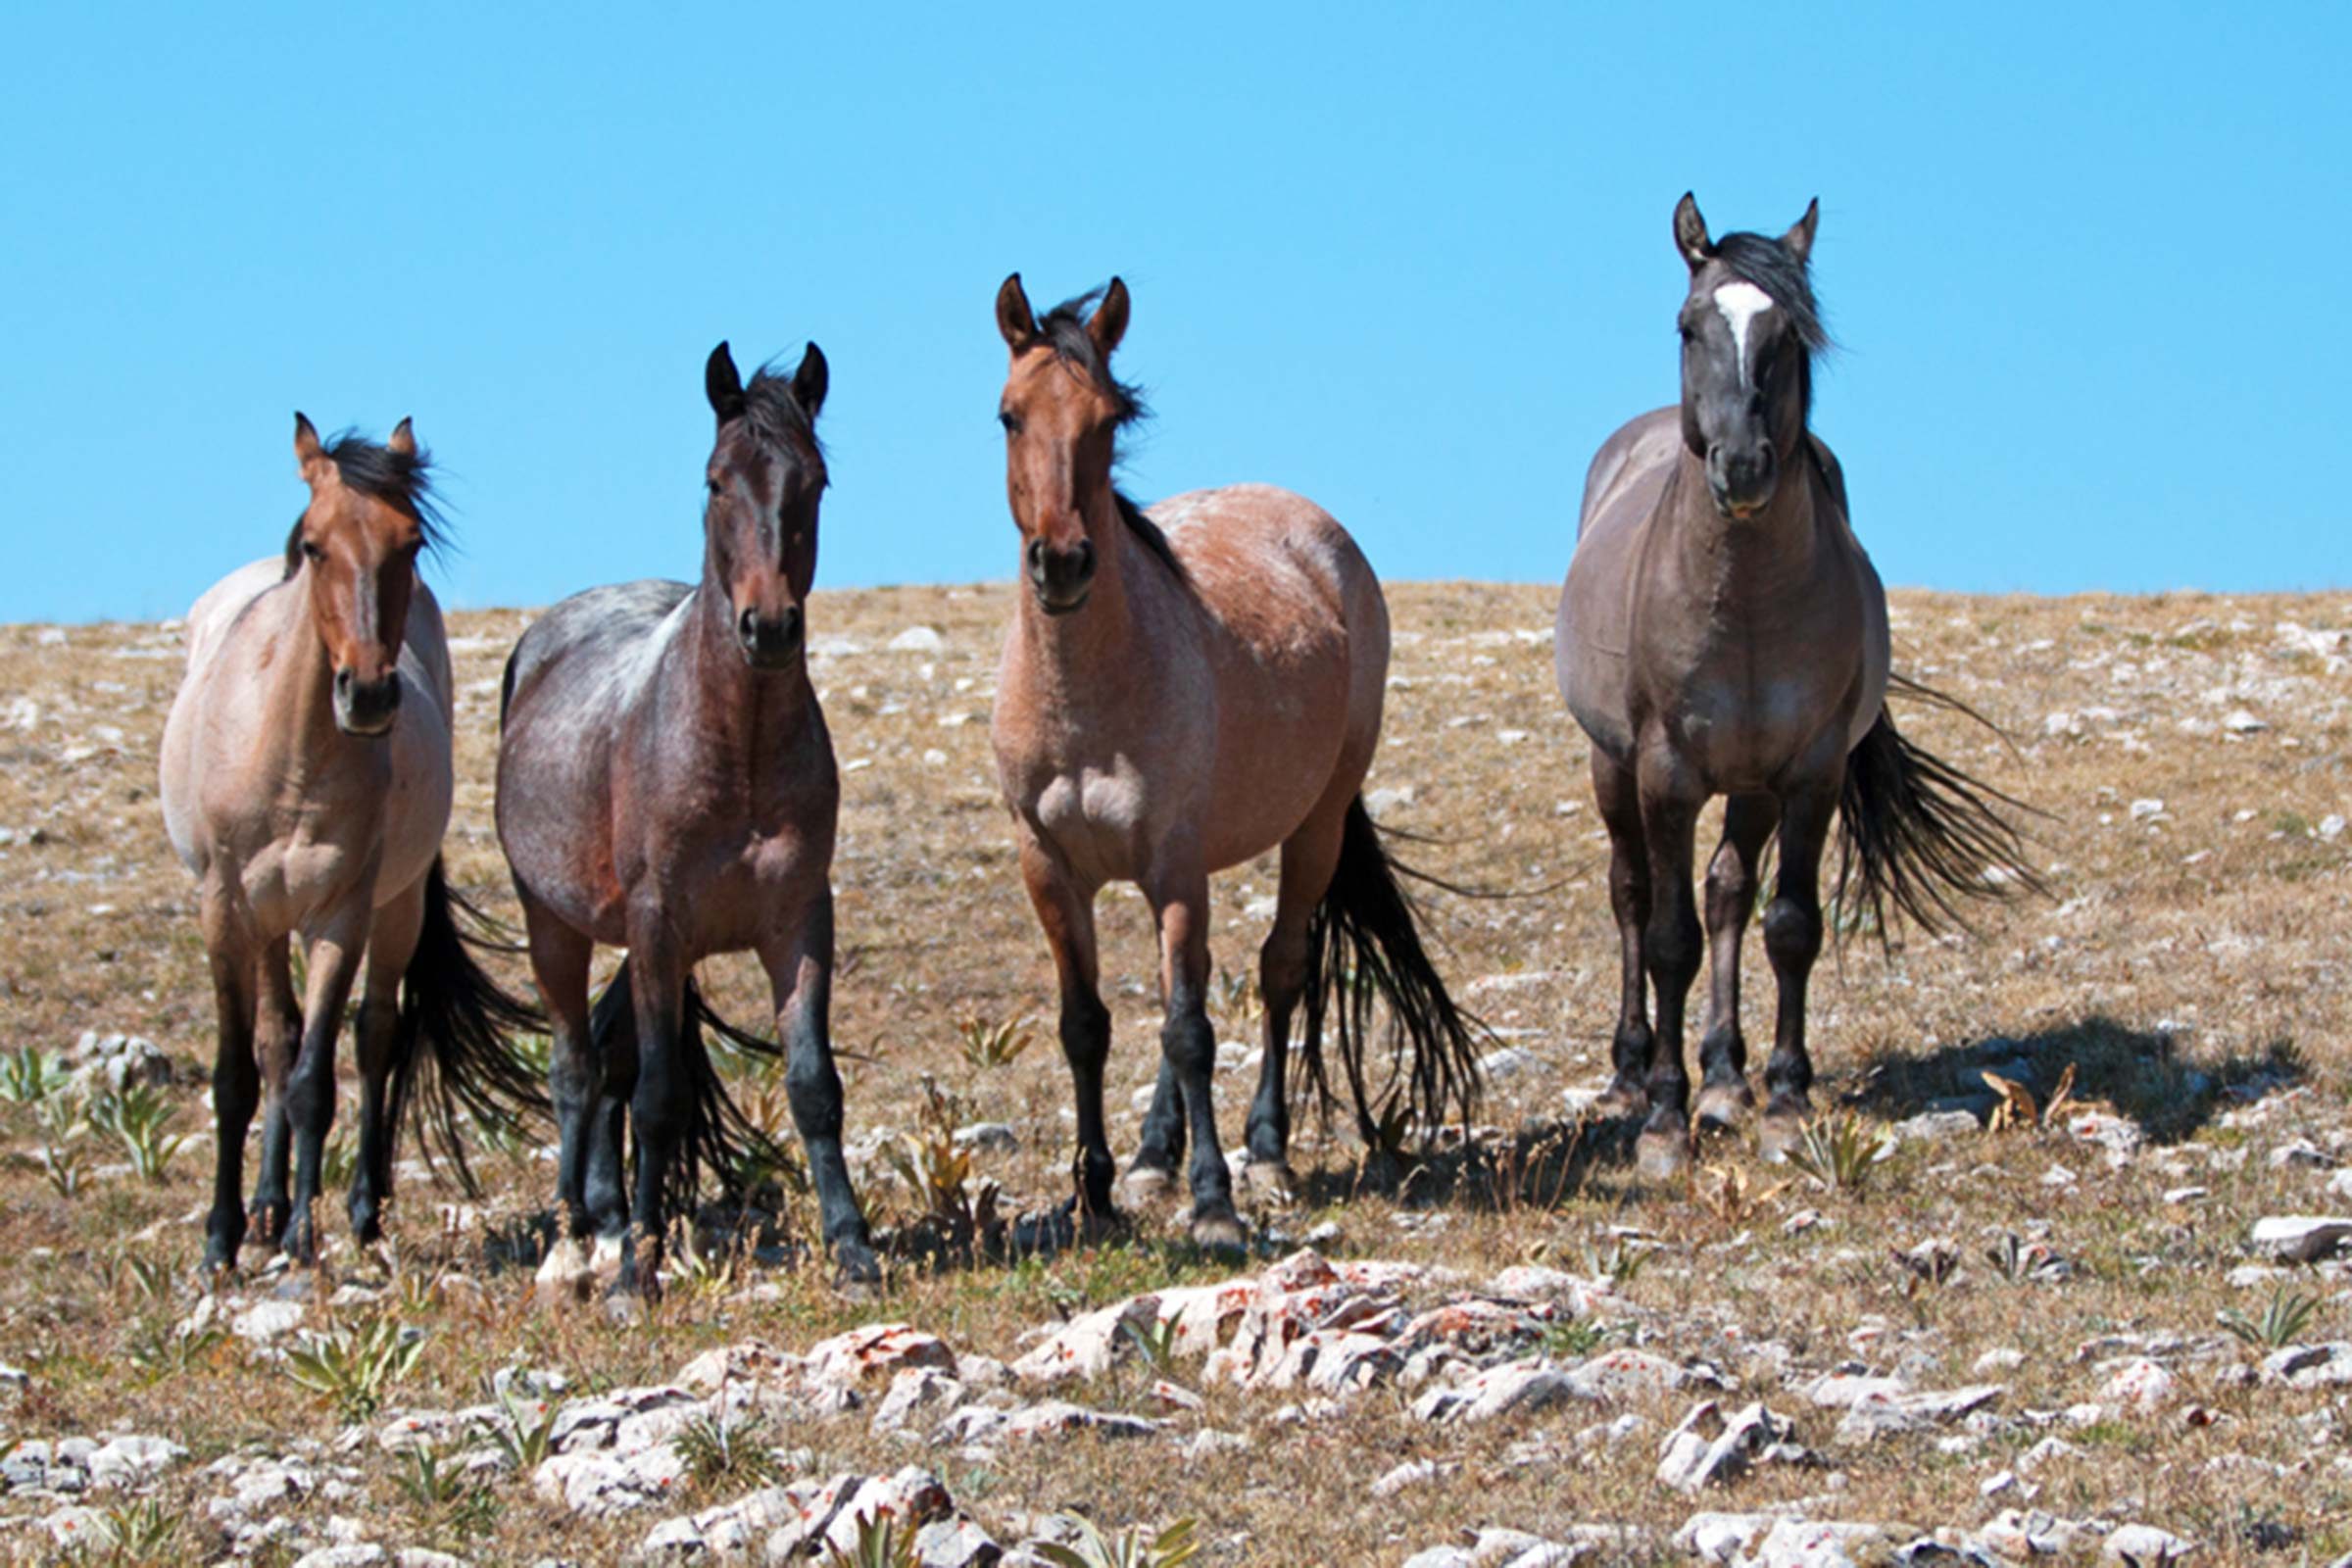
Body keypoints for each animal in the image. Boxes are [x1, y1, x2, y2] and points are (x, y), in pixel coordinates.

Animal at [161, 416, 547, 1271]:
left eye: (410, 541)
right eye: (312, 545)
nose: (367, 694)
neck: (288, 760)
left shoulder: (338, 912)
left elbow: (316, 1080)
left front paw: (305, 1239)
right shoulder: (223, 909)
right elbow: (238, 1073)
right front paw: (220, 1239)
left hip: (392, 908)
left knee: (373, 1038)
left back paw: (358, 1212)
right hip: (267, 920)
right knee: (275, 1040)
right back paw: (265, 1207)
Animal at [495, 340, 876, 1297]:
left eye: (814, 481)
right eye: (716, 480)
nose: (768, 627)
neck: (736, 751)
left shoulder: (798, 921)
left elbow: (813, 1084)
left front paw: (853, 1247)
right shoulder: (659, 922)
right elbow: (660, 1096)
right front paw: (637, 1271)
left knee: (605, 1067)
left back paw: (607, 1223)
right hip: (556, 924)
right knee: (573, 1069)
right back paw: (574, 1244)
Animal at [988, 274, 1481, 1248]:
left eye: (1107, 419)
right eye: (1010, 416)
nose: (1062, 563)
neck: (1082, 701)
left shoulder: (1174, 865)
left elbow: (1190, 1032)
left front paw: (1214, 1206)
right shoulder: (1050, 868)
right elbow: (1086, 1026)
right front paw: (1095, 1196)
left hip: (1316, 826)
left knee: (1278, 970)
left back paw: (1268, 1153)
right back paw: (1151, 1159)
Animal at [1555, 194, 2040, 1180]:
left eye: (1790, 334)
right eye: (1688, 325)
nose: (1741, 466)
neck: (1743, 601)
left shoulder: (1809, 771)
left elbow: (1788, 924)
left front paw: (1779, 1100)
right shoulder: (1665, 772)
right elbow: (1668, 938)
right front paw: (1663, 1123)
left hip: (1751, 786)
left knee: (1728, 892)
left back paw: (1725, 1079)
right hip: (1612, 767)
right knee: (1632, 895)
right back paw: (1631, 1075)